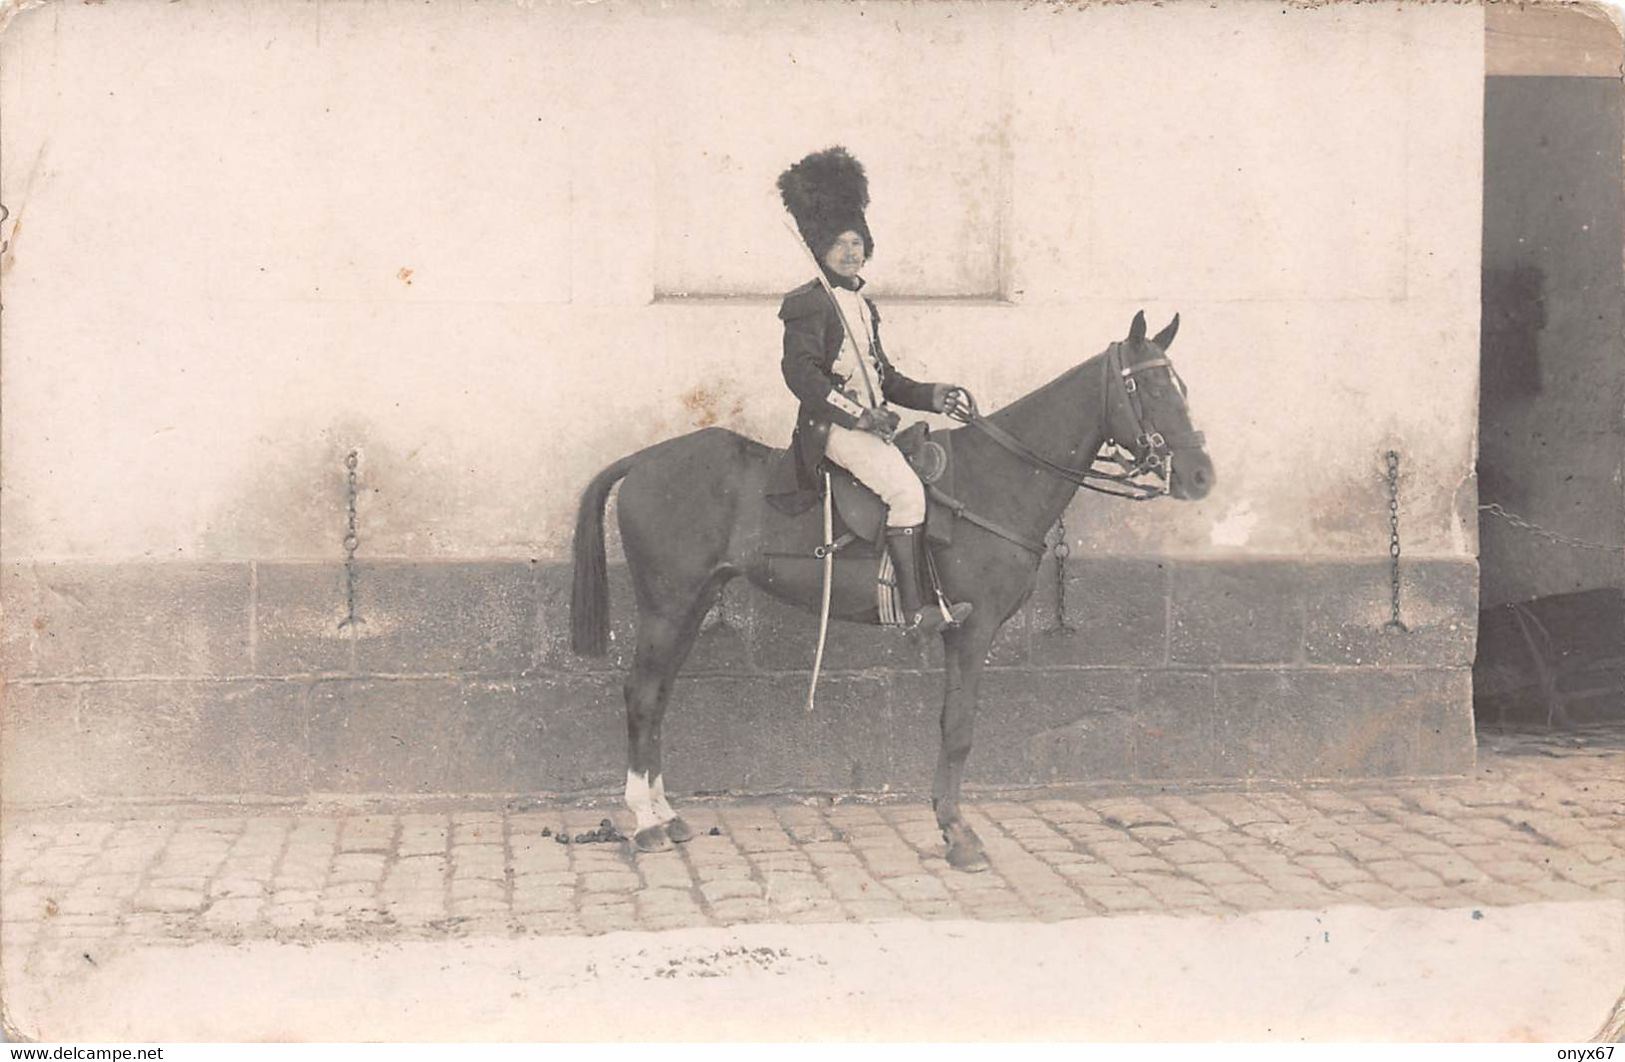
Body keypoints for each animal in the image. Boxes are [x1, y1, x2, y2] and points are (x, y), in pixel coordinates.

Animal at [565, 308, 1215, 876]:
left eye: (1182, 385)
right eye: (1152, 389)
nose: (1201, 476)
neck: (997, 479)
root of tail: (642, 460)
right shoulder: (970, 630)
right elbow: (958, 729)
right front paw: (957, 833)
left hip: (692, 604)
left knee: (659, 696)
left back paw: (666, 814)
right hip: (668, 606)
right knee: (642, 694)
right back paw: (646, 822)